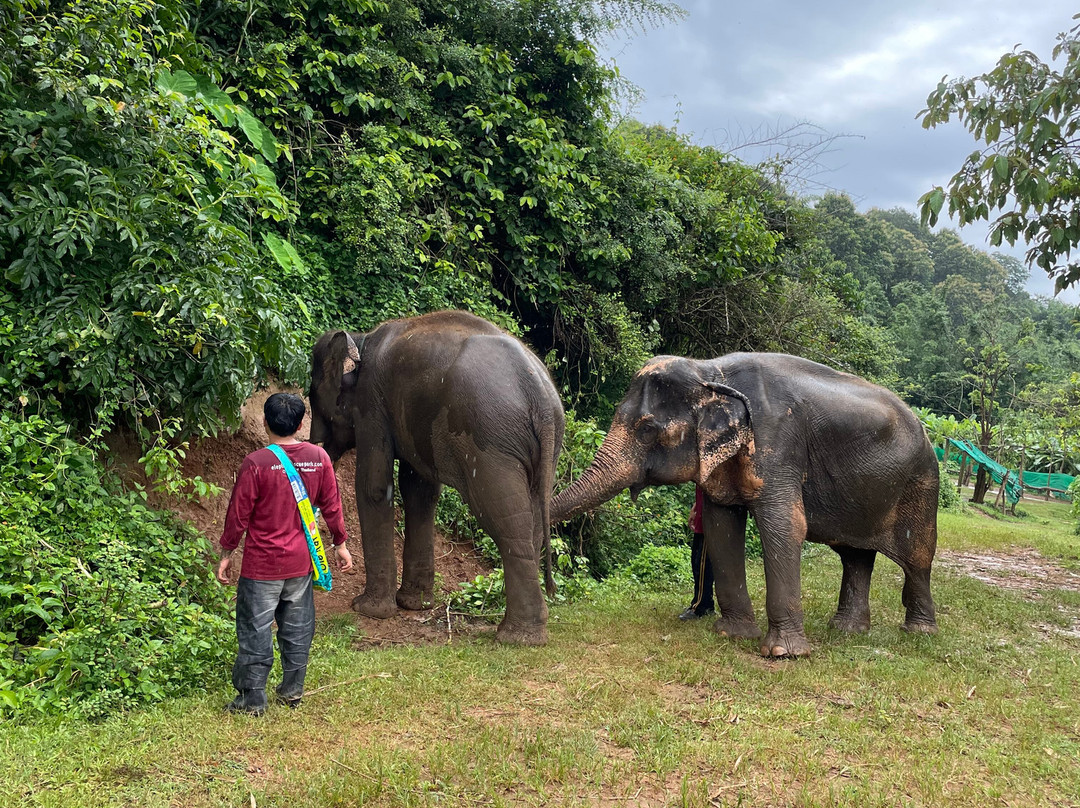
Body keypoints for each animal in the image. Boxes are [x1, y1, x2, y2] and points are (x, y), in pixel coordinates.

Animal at [310, 311, 565, 646]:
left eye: (312, 394)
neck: (360, 338)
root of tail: (541, 397)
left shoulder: (371, 404)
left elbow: (375, 487)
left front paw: (368, 610)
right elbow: (419, 490)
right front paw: (414, 605)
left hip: (490, 443)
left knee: (505, 518)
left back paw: (517, 638)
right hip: (541, 450)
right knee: (531, 518)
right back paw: (521, 630)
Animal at [552, 353, 938, 657]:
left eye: (647, 429)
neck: (710, 371)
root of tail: (925, 429)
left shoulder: (778, 442)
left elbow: (784, 525)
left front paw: (783, 654)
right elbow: (721, 525)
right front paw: (732, 635)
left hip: (921, 481)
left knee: (917, 559)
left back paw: (919, 632)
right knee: (854, 555)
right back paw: (846, 629)